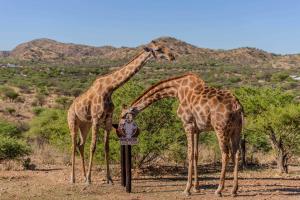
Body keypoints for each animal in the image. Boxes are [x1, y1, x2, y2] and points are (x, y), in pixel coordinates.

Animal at [67, 39, 176, 185]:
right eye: (158, 49)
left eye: (167, 46)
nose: (172, 57)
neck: (109, 88)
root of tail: (69, 108)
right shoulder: (96, 119)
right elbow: (93, 146)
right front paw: (89, 180)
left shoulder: (107, 120)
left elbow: (106, 147)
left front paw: (109, 179)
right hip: (73, 121)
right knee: (73, 145)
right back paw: (73, 178)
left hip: (85, 125)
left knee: (80, 145)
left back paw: (83, 176)